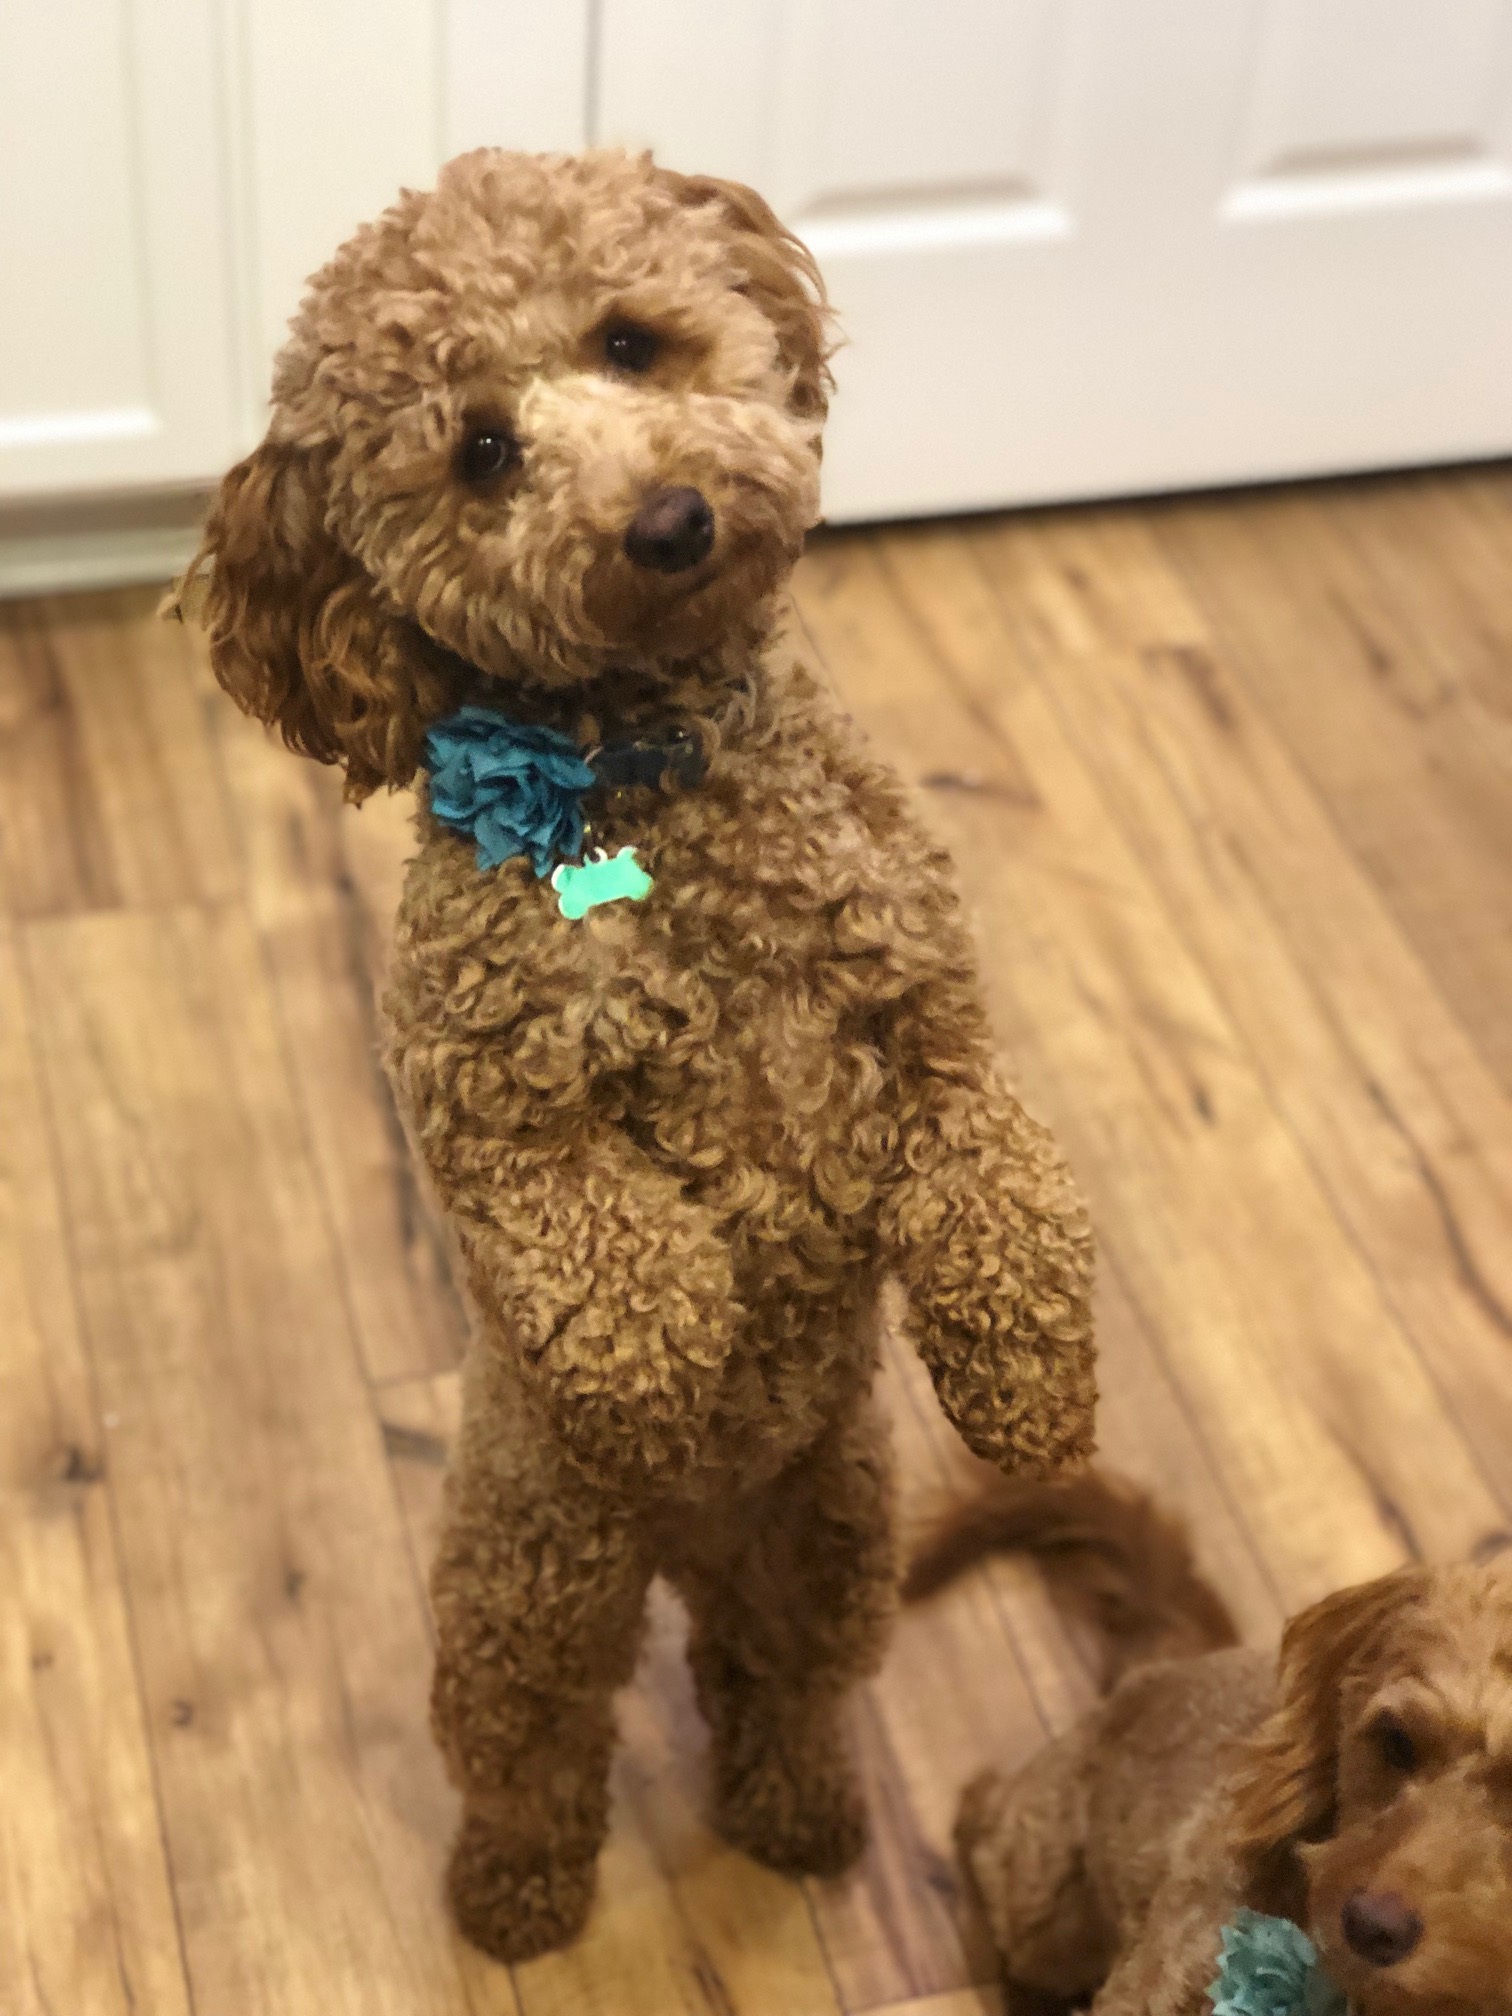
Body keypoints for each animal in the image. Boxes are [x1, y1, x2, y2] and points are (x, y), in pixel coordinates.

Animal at [177, 146, 1104, 1967]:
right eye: (479, 450)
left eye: (629, 340)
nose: (667, 520)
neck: (649, 775)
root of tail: (688, 1552)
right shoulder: (480, 1103)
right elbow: (603, 1250)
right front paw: (666, 1367)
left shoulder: (934, 1026)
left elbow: (1003, 1201)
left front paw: (1035, 1392)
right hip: (522, 1590)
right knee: (535, 1752)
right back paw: (516, 1897)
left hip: (833, 1545)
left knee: (774, 1688)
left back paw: (803, 1814)